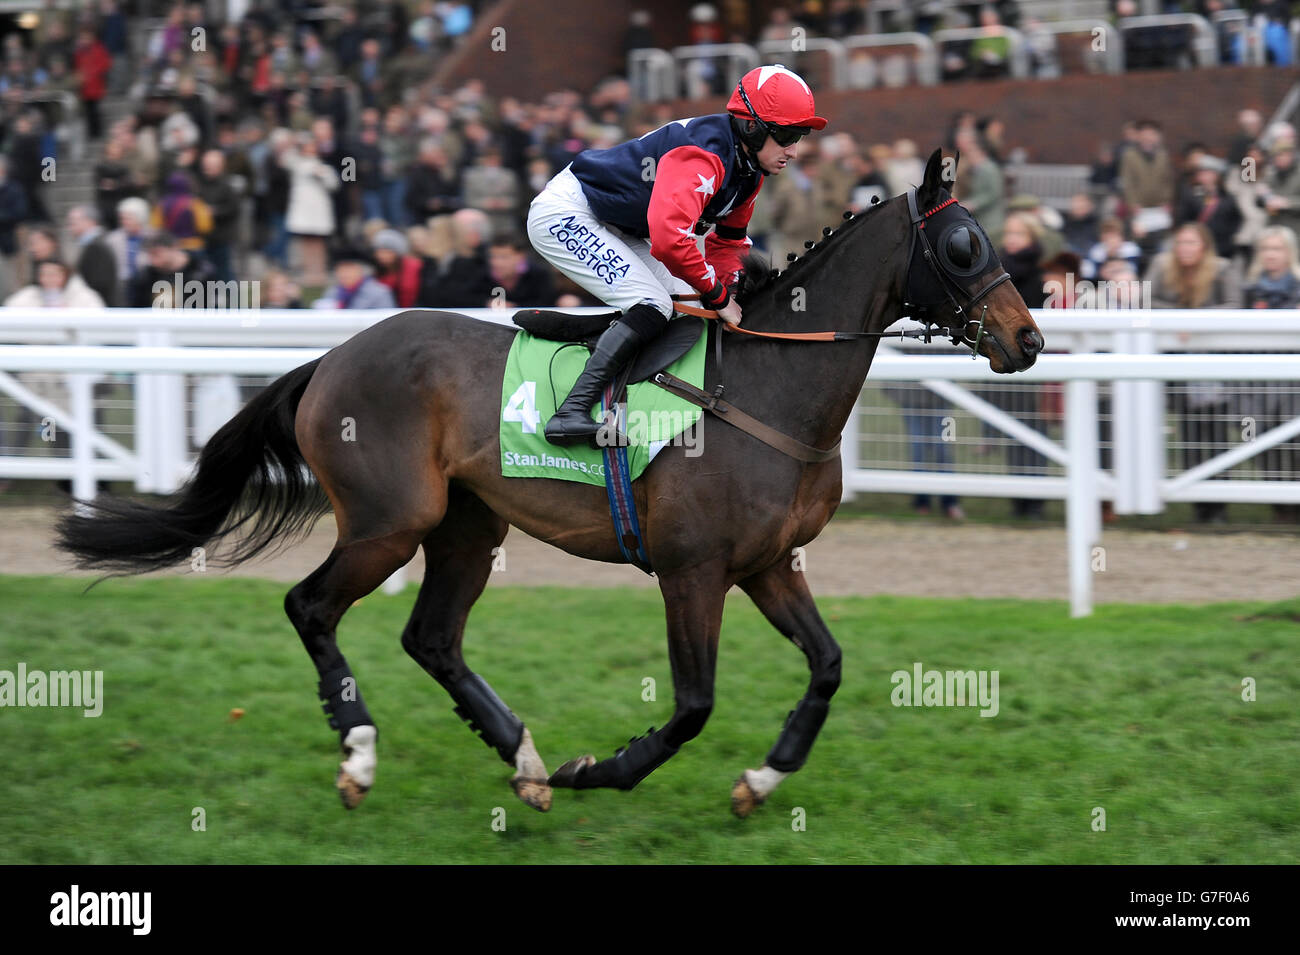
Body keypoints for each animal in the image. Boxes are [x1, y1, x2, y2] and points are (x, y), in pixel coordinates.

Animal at [55, 147, 1045, 815]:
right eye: (963, 243)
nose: (1028, 338)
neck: (768, 387)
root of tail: (331, 357)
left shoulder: (769, 563)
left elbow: (830, 665)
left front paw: (760, 780)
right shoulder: (692, 570)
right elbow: (693, 704)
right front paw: (600, 769)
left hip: (466, 523)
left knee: (432, 637)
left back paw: (523, 760)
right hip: (389, 519)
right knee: (312, 607)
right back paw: (363, 753)